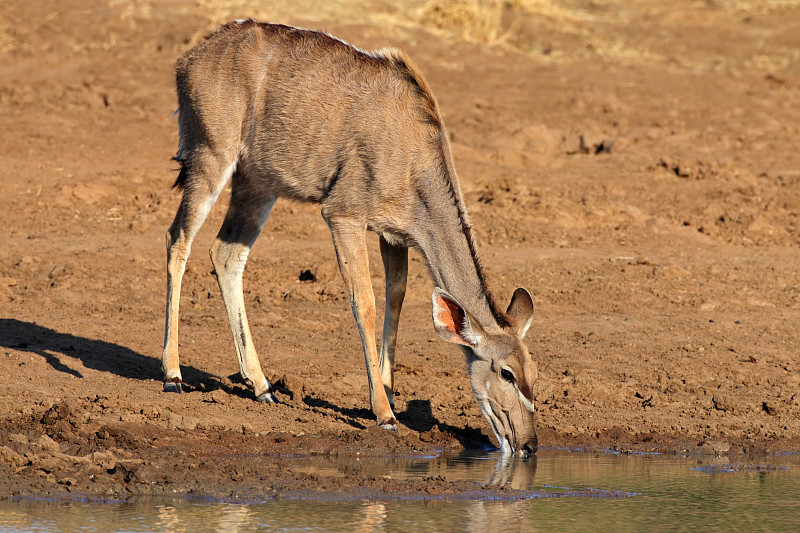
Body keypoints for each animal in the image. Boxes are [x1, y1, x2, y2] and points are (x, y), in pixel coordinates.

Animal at [162, 20, 536, 454]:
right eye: (507, 373)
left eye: (535, 373)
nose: (529, 445)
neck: (412, 149)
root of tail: (188, 60)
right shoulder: (343, 215)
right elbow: (365, 301)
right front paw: (385, 413)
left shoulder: (394, 235)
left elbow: (396, 295)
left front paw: (388, 390)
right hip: (210, 157)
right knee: (178, 240)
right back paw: (173, 375)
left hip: (257, 184)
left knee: (225, 253)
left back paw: (262, 387)